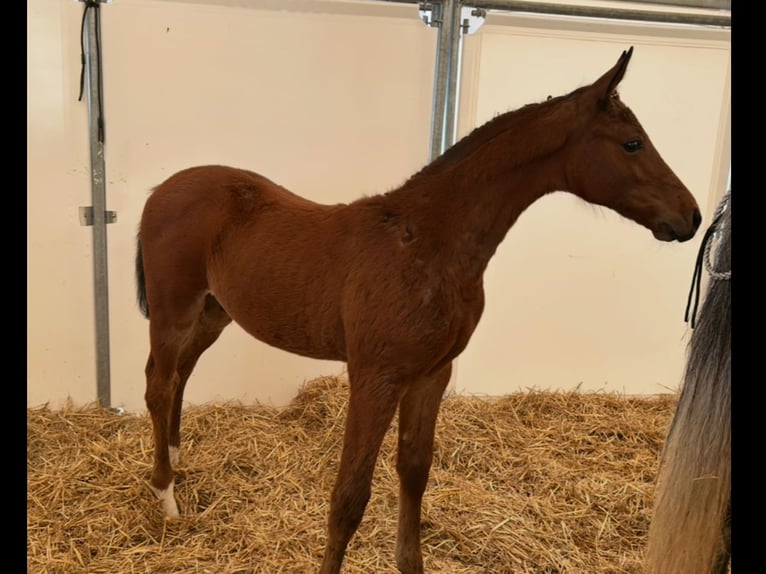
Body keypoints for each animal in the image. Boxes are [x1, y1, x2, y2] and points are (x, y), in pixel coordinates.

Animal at [135, 47, 701, 574]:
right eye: (632, 142)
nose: (691, 216)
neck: (431, 243)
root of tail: (162, 190)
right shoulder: (375, 377)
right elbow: (349, 496)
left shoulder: (432, 373)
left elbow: (414, 469)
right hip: (173, 309)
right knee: (159, 383)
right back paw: (166, 495)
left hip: (215, 311)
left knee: (182, 373)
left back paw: (178, 461)